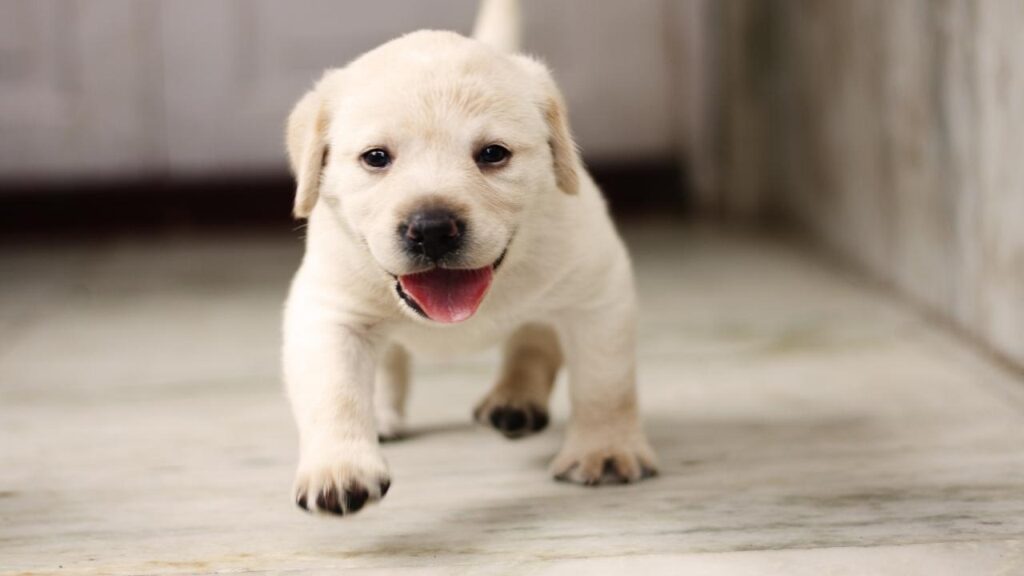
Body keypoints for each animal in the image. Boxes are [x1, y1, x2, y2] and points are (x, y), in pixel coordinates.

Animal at [284, 0, 659, 512]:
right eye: (376, 157)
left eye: (493, 154)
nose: (432, 230)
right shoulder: (328, 310)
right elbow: (335, 390)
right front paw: (339, 468)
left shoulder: (598, 292)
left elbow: (605, 382)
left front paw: (605, 450)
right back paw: (383, 414)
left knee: (533, 340)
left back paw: (514, 400)